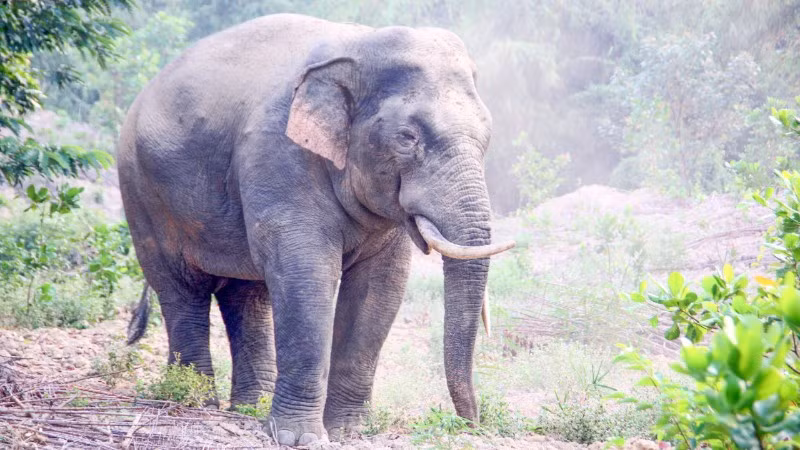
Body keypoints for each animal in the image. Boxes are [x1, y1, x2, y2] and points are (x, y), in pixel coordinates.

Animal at [119, 13, 514, 446]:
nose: (471, 422)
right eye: (408, 137)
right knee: (181, 290)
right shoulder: (278, 154)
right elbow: (306, 275)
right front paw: (299, 438)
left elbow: (381, 285)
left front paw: (350, 431)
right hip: (141, 192)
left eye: (488, 135)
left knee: (246, 294)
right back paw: (194, 401)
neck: (360, 44)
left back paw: (250, 407)